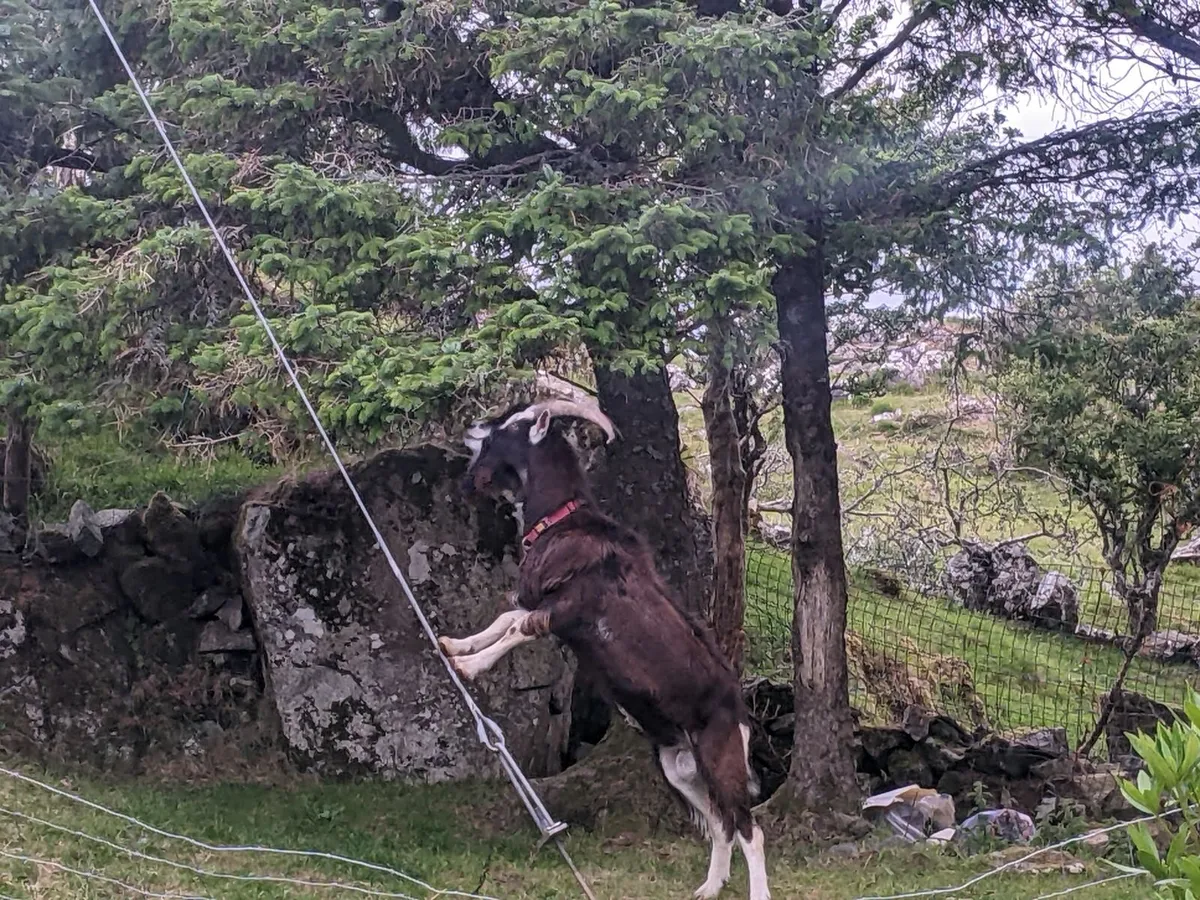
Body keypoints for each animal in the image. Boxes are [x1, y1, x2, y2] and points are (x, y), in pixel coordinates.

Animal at [438, 399, 770, 900]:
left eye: (513, 426)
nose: (473, 427)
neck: (563, 521)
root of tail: (742, 712)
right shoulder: (550, 609)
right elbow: (506, 620)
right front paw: (455, 646)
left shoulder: (569, 610)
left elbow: (518, 627)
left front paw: (469, 666)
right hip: (680, 768)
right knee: (720, 823)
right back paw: (708, 888)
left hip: (722, 755)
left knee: (749, 827)